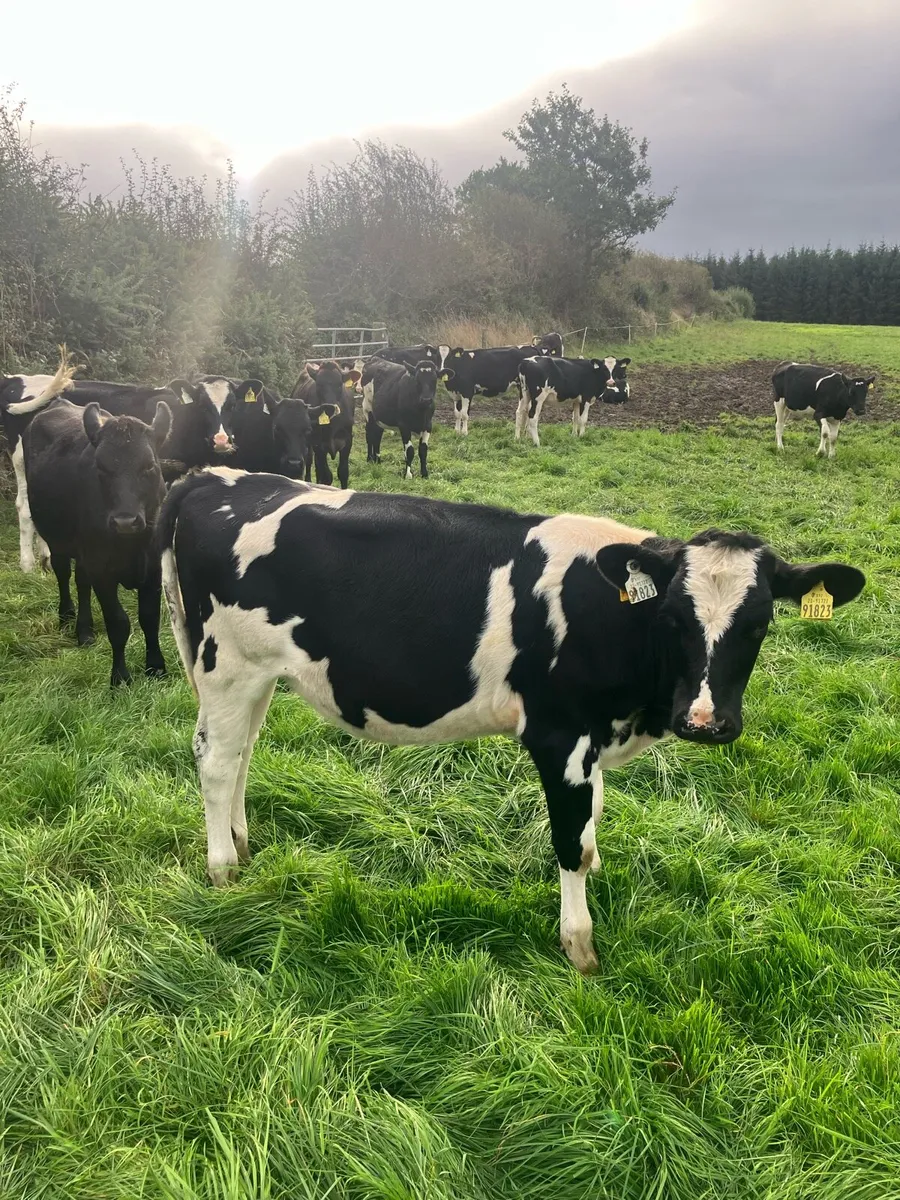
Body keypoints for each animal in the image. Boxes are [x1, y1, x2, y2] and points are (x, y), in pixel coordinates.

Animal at [23, 398, 172, 687]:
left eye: (149, 465)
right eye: (101, 467)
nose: (125, 521)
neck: (133, 545)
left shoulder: (153, 569)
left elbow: (149, 618)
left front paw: (156, 668)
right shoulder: (102, 570)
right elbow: (118, 623)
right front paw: (120, 678)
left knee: (81, 581)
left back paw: (85, 631)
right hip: (58, 540)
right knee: (63, 573)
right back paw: (67, 616)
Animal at [158, 469, 865, 972]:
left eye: (760, 622)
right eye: (672, 620)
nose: (705, 721)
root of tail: (214, 476)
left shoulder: (592, 739)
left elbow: (593, 823)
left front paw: (597, 872)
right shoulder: (561, 736)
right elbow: (570, 840)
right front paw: (580, 946)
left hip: (258, 674)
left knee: (242, 752)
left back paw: (243, 842)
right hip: (226, 663)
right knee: (215, 762)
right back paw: (223, 868)